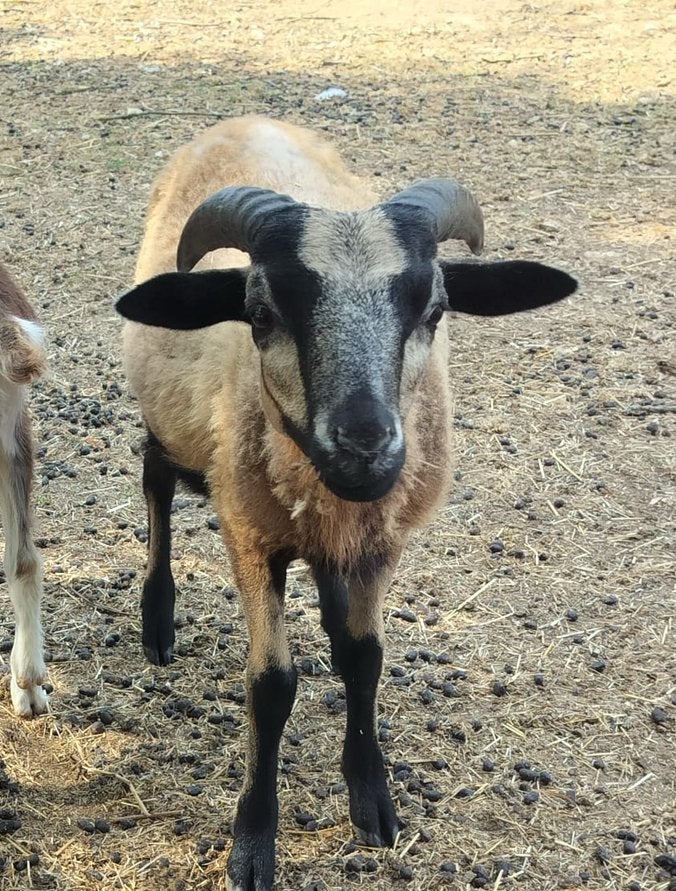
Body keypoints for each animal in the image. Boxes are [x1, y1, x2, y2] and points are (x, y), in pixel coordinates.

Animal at [116, 115, 577, 891]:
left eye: (435, 308)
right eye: (259, 313)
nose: (365, 444)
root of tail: (244, 117)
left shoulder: (382, 536)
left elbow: (363, 659)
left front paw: (372, 798)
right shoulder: (249, 533)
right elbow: (270, 684)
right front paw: (254, 838)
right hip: (174, 419)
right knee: (155, 478)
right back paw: (156, 617)